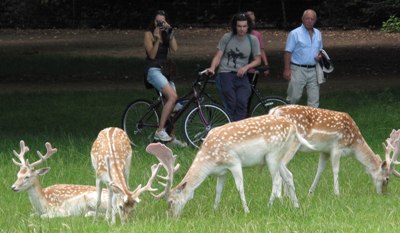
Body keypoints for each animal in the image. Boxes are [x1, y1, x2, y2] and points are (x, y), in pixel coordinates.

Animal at [145, 114, 318, 217]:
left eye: (171, 201)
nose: (170, 217)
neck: (210, 160)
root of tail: (293, 127)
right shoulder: (221, 172)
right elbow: (218, 190)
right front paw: (214, 211)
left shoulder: (234, 162)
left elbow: (239, 187)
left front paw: (246, 211)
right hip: (280, 156)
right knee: (289, 175)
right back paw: (296, 206)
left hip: (273, 155)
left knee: (276, 181)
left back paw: (269, 207)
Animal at [268, 104, 400, 196]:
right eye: (387, 179)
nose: (383, 193)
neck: (354, 144)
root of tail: (273, 111)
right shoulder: (337, 147)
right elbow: (336, 170)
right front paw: (337, 194)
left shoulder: (325, 151)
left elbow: (320, 170)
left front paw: (311, 193)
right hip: (292, 143)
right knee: (282, 165)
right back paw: (283, 195)